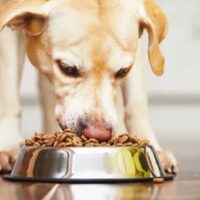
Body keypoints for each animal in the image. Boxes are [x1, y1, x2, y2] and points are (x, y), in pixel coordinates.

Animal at [0, 0, 177, 173]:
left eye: (122, 71)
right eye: (67, 68)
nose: (98, 134)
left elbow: (137, 105)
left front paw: (153, 148)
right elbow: (9, 99)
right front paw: (7, 147)